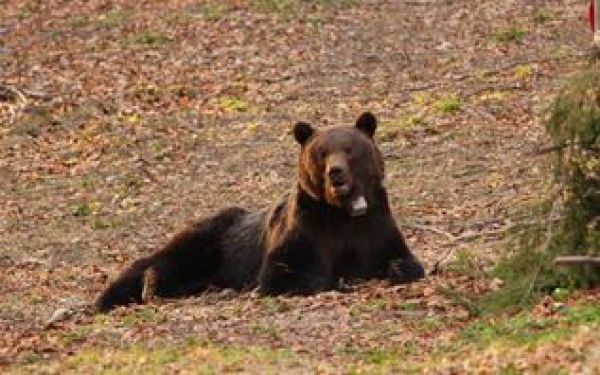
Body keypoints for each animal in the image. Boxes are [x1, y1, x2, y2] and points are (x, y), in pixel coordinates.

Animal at [95, 113, 422, 312]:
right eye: (321, 152)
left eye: (350, 149)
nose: (336, 173)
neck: (341, 212)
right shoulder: (306, 230)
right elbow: (285, 274)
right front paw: (334, 280)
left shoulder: (374, 226)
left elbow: (404, 260)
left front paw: (395, 270)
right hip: (211, 239)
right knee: (162, 262)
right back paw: (127, 293)